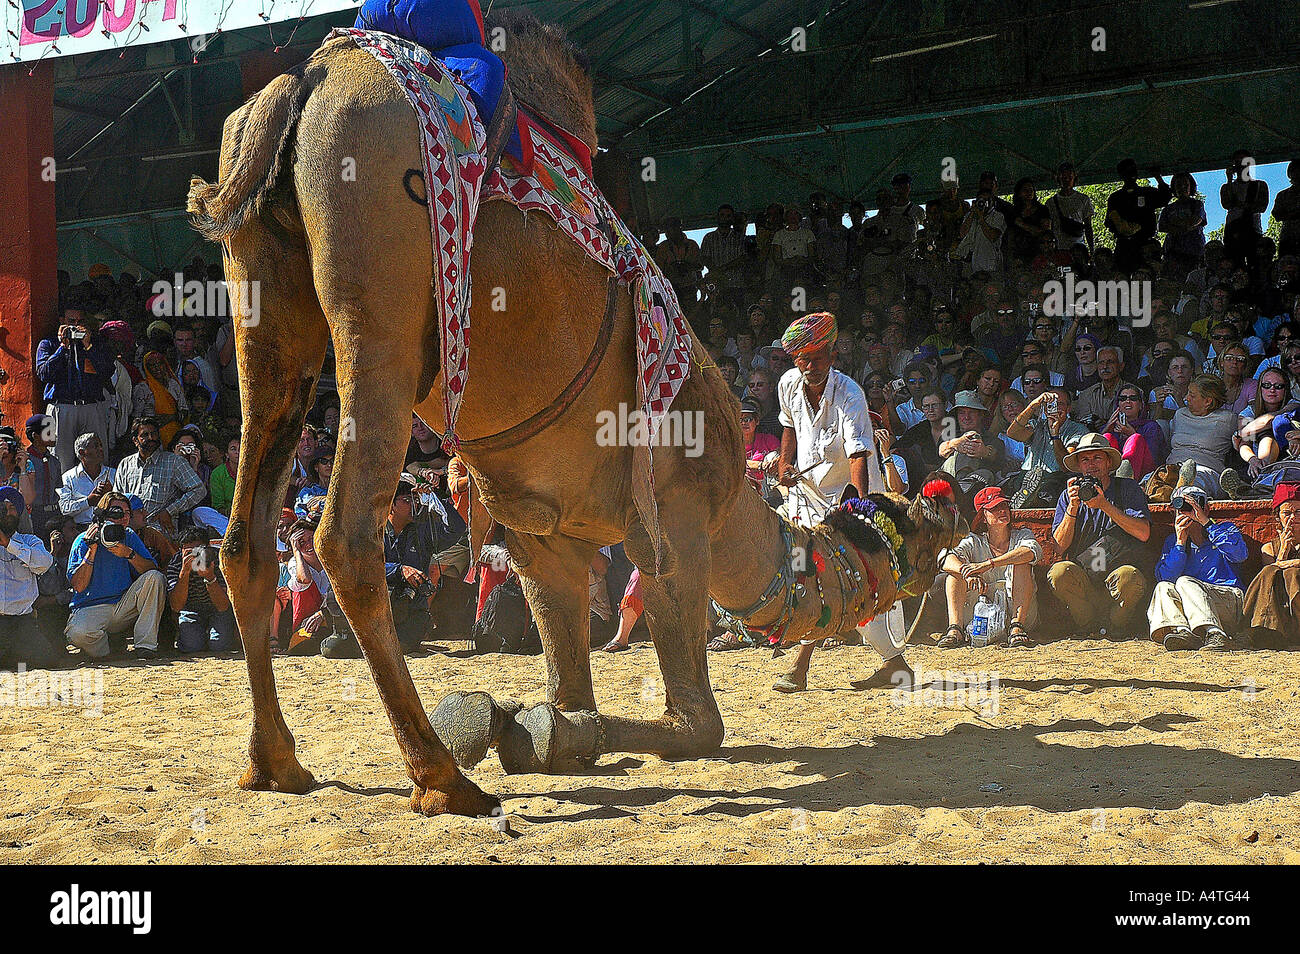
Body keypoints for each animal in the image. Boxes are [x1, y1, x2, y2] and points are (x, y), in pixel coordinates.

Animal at [186, 10, 965, 817]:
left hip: (264, 311)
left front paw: (525, 727)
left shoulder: (542, 539)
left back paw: (277, 764)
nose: (949, 514)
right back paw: (440, 776)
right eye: (910, 538)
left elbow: (573, 699)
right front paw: (503, 727)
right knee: (345, 535)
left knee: (247, 537)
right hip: (381, 316)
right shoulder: (675, 521)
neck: (733, 506)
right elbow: (697, 722)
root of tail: (303, 83)